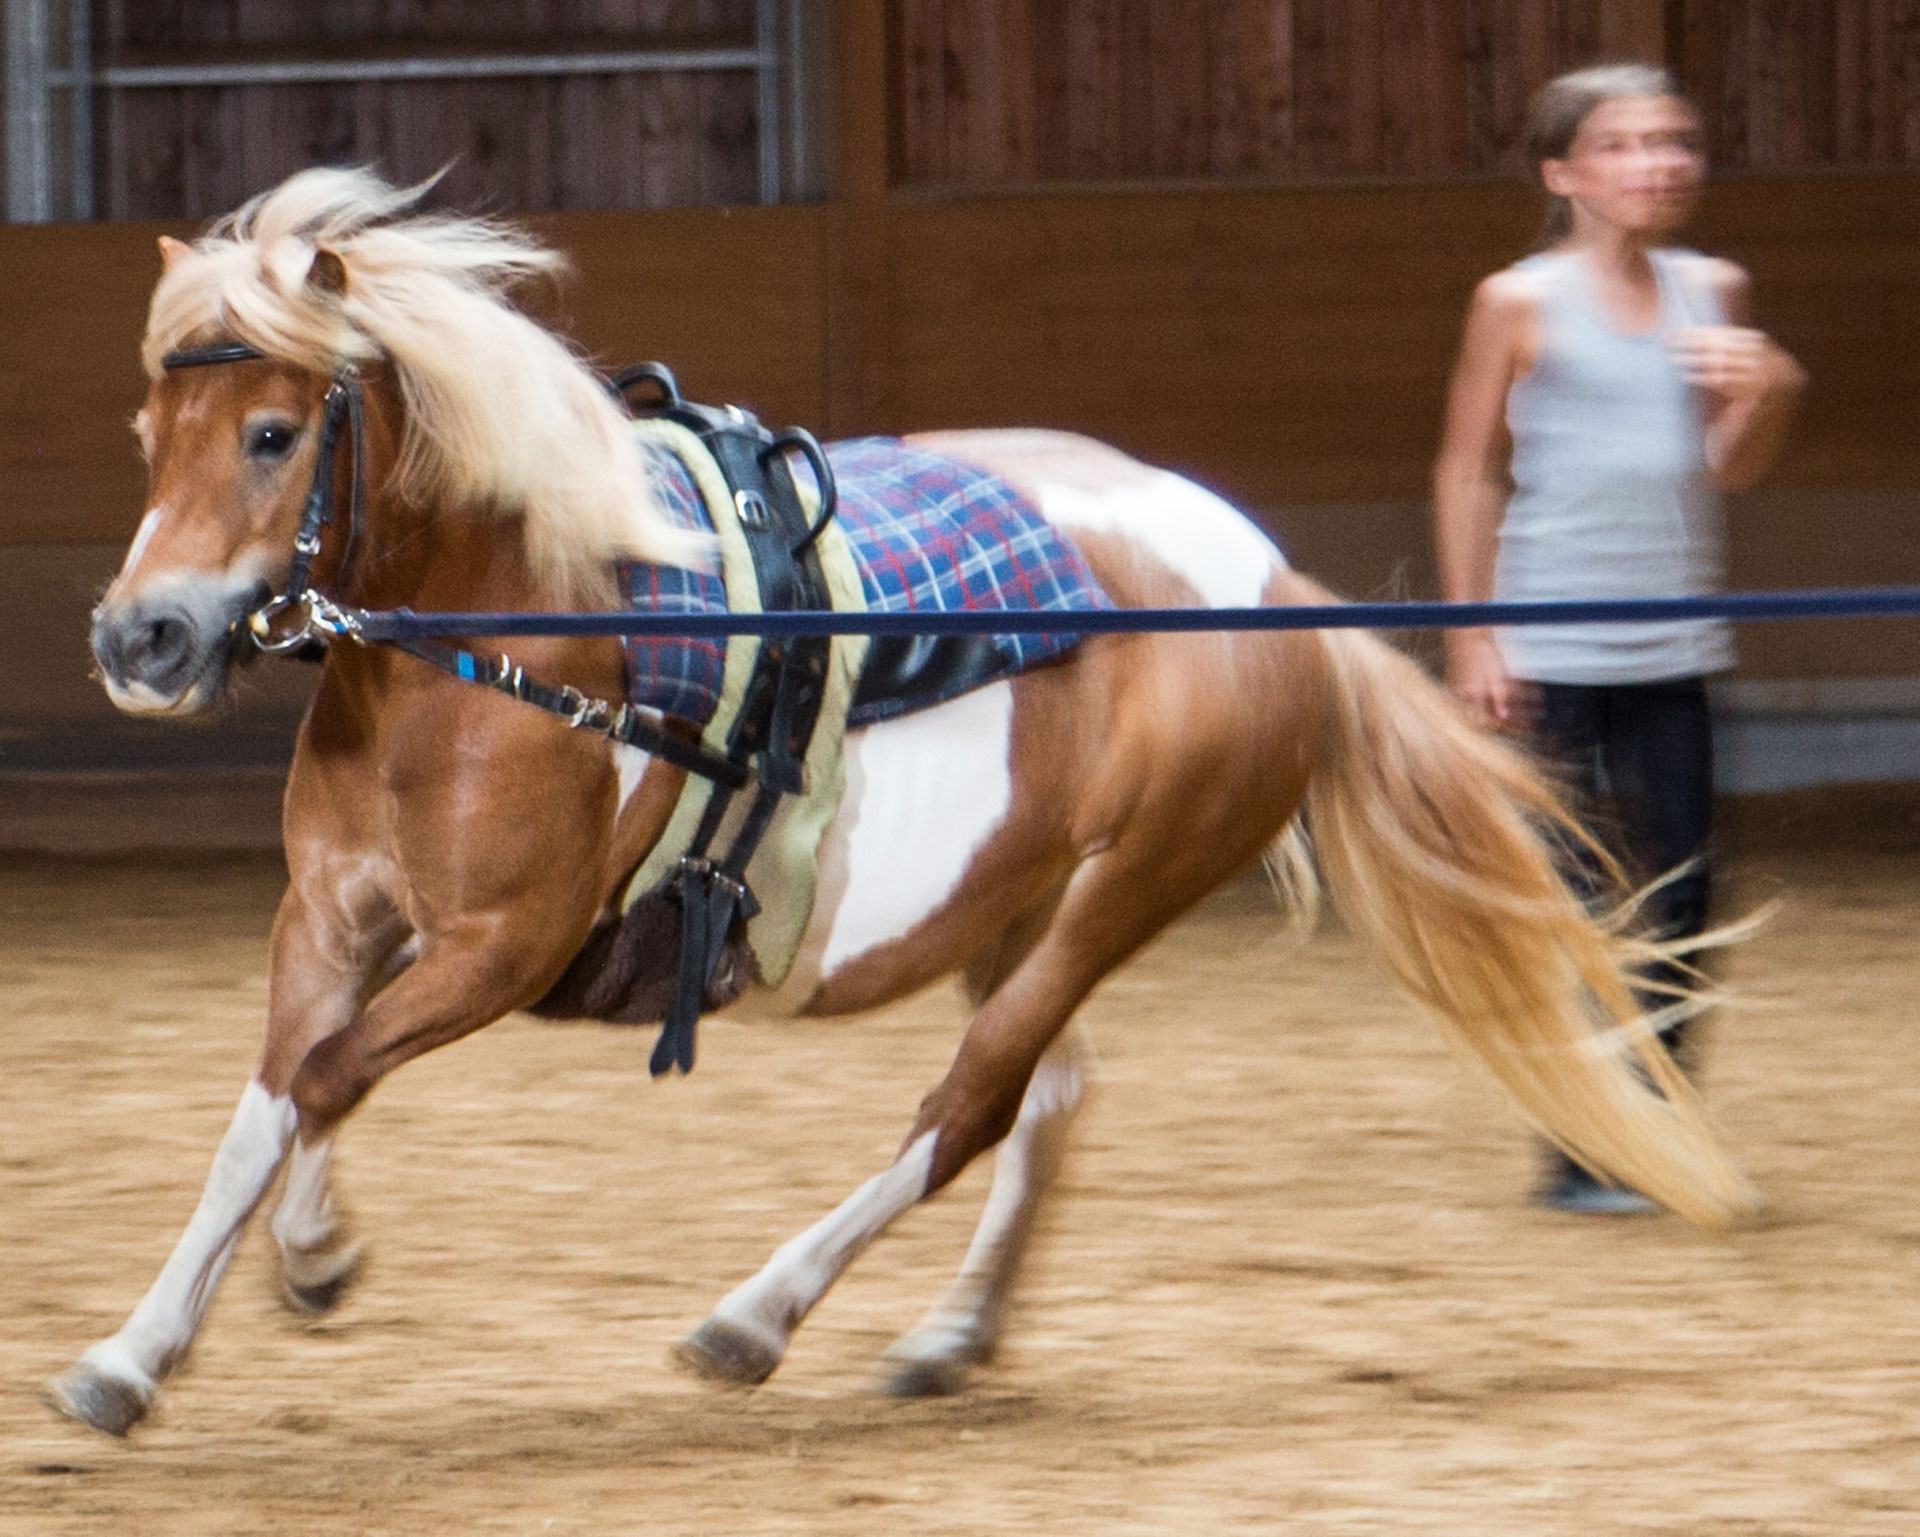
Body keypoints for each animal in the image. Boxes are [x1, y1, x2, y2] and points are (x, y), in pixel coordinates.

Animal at [48, 173, 1758, 1435]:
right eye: (144, 434)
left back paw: (755, 1317)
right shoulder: (335, 918)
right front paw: (153, 1343)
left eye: (275, 434)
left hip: (1126, 887)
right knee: (1053, 1099)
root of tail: (1276, 590)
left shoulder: (502, 950)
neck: (513, 637)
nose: (144, 639)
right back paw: (947, 1339)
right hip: (1020, 896)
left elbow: (330, 1079)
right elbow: (271, 1105)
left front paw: (300, 1265)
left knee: (979, 1100)